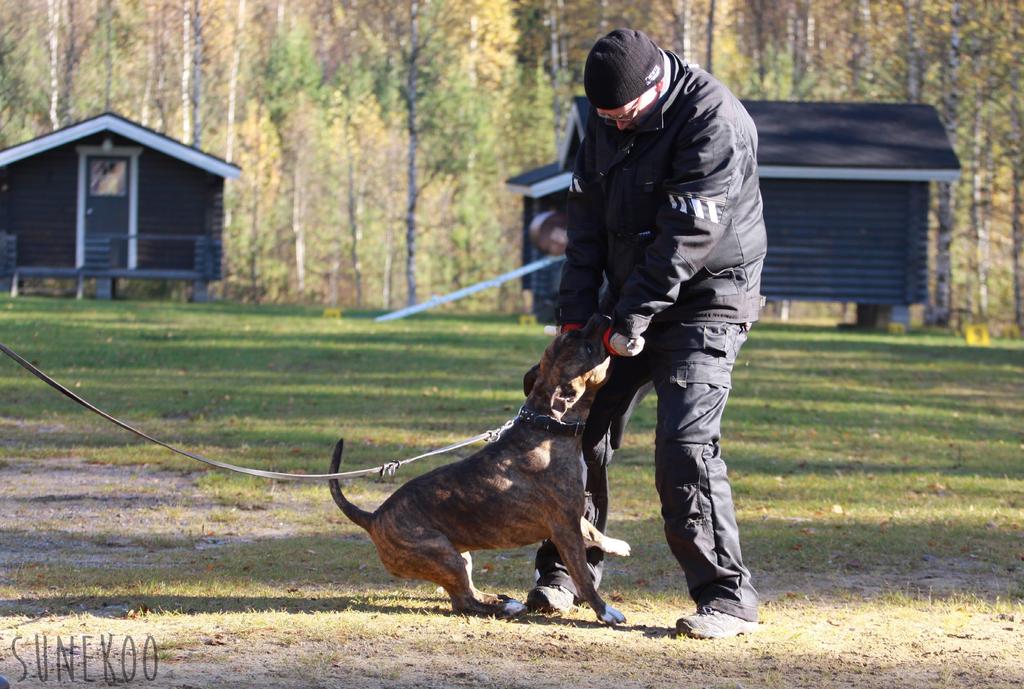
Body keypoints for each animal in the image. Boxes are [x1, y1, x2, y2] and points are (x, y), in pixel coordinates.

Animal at [329, 315, 630, 626]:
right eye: (588, 348)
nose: (601, 317)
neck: (546, 425)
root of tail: (373, 517)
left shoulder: (571, 516)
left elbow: (592, 530)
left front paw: (616, 544)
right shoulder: (564, 528)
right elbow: (582, 574)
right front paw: (605, 611)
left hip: (460, 556)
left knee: (466, 593)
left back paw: (503, 600)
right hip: (441, 555)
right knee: (464, 600)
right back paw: (507, 607)